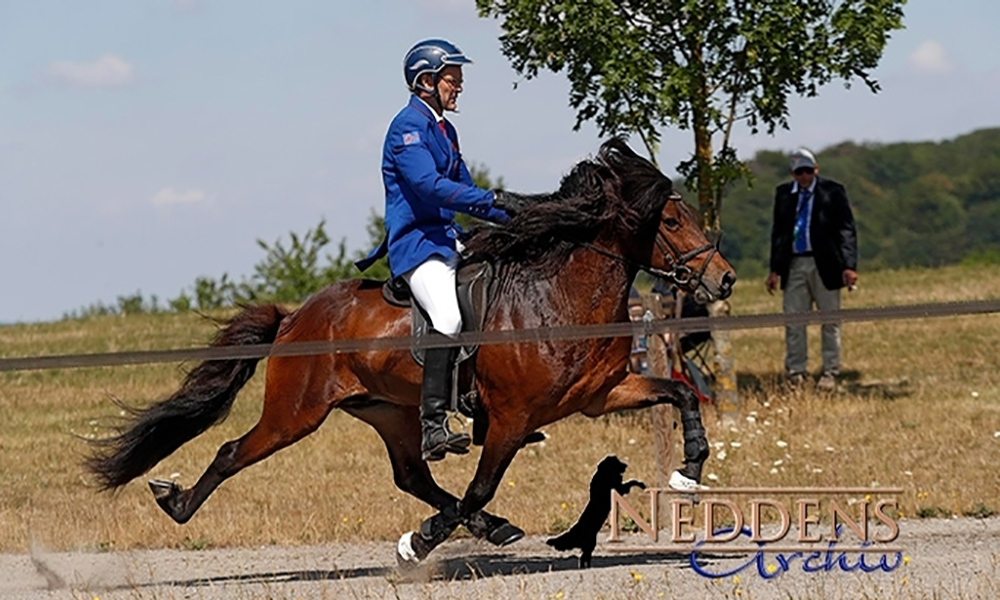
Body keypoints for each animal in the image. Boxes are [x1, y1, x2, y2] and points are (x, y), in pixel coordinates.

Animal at [88, 138, 736, 564]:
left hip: (388, 411)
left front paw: (688, 471)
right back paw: (176, 505)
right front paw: (418, 542)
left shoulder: (601, 394)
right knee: (231, 452)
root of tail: (297, 316)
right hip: (295, 412)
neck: (558, 295)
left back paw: (492, 528)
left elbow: (681, 394)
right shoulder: (511, 417)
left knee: (412, 475)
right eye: (671, 221)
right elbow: (481, 483)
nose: (724, 280)